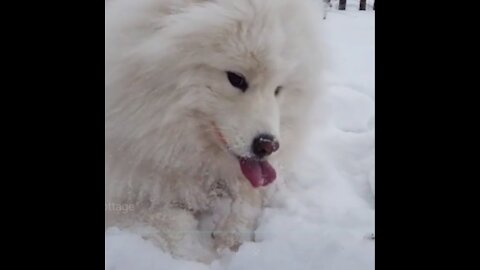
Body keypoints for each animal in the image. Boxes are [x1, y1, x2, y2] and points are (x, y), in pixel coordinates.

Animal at [104, 0, 322, 262]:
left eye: (278, 89)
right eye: (236, 78)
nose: (268, 145)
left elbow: (247, 202)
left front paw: (231, 243)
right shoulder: (124, 191)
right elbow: (174, 223)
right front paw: (205, 257)